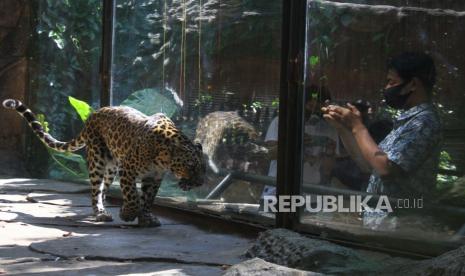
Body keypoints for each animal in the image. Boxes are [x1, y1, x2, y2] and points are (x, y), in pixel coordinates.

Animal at [2, 98, 205, 226]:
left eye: (202, 168)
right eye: (191, 166)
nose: (200, 183)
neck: (164, 158)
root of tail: (93, 114)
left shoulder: (153, 178)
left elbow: (148, 199)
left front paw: (146, 218)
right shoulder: (127, 170)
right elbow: (132, 195)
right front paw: (128, 214)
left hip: (111, 168)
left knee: (103, 191)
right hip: (98, 161)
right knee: (95, 192)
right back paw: (101, 214)